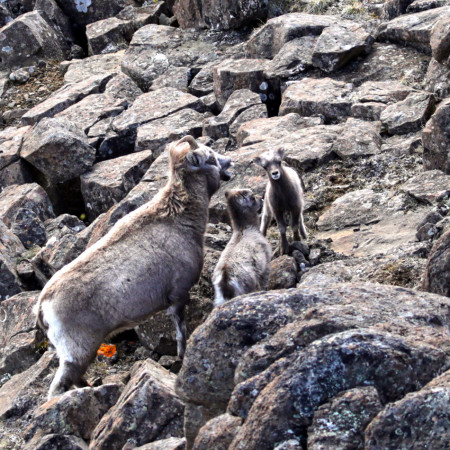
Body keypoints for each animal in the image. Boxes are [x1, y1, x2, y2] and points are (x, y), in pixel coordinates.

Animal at [36, 134, 232, 398]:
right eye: (210, 158)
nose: (229, 163)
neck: (178, 220)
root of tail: (42, 306)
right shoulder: (179, 295)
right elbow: (180, 331)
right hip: (77, 351)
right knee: (59, 388)